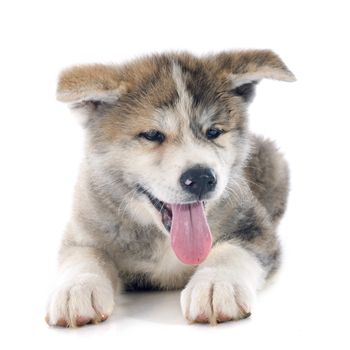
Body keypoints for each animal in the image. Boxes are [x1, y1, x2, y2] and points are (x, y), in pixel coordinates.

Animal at [45, 50, 294, 326]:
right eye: (153, 135)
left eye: (213, 132)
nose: (200, 178)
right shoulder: (85, 224)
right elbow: (86, 254)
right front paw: (76, 288)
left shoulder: (254, 225)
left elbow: (233, 250)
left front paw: (217, 284)